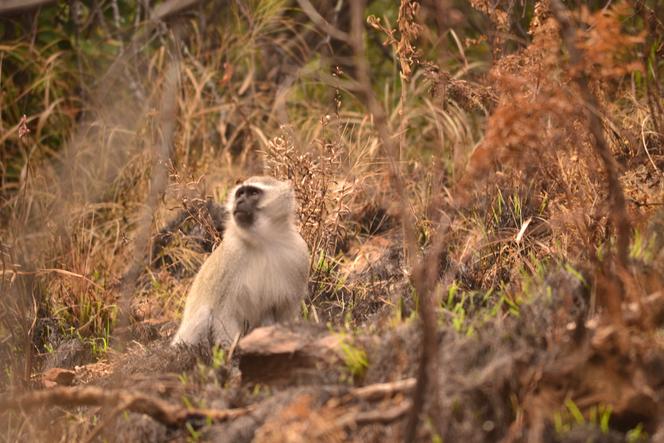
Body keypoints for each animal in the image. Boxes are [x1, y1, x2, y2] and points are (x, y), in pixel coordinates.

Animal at [171, 176, 310, 347]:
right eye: (240, 193)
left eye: (253, 193)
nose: (239, 201)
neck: (261, 243)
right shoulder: (230, 257)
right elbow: (224, 314)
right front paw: (232, 351)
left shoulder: (299, 255)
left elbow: (285, 313)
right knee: (205, 314)